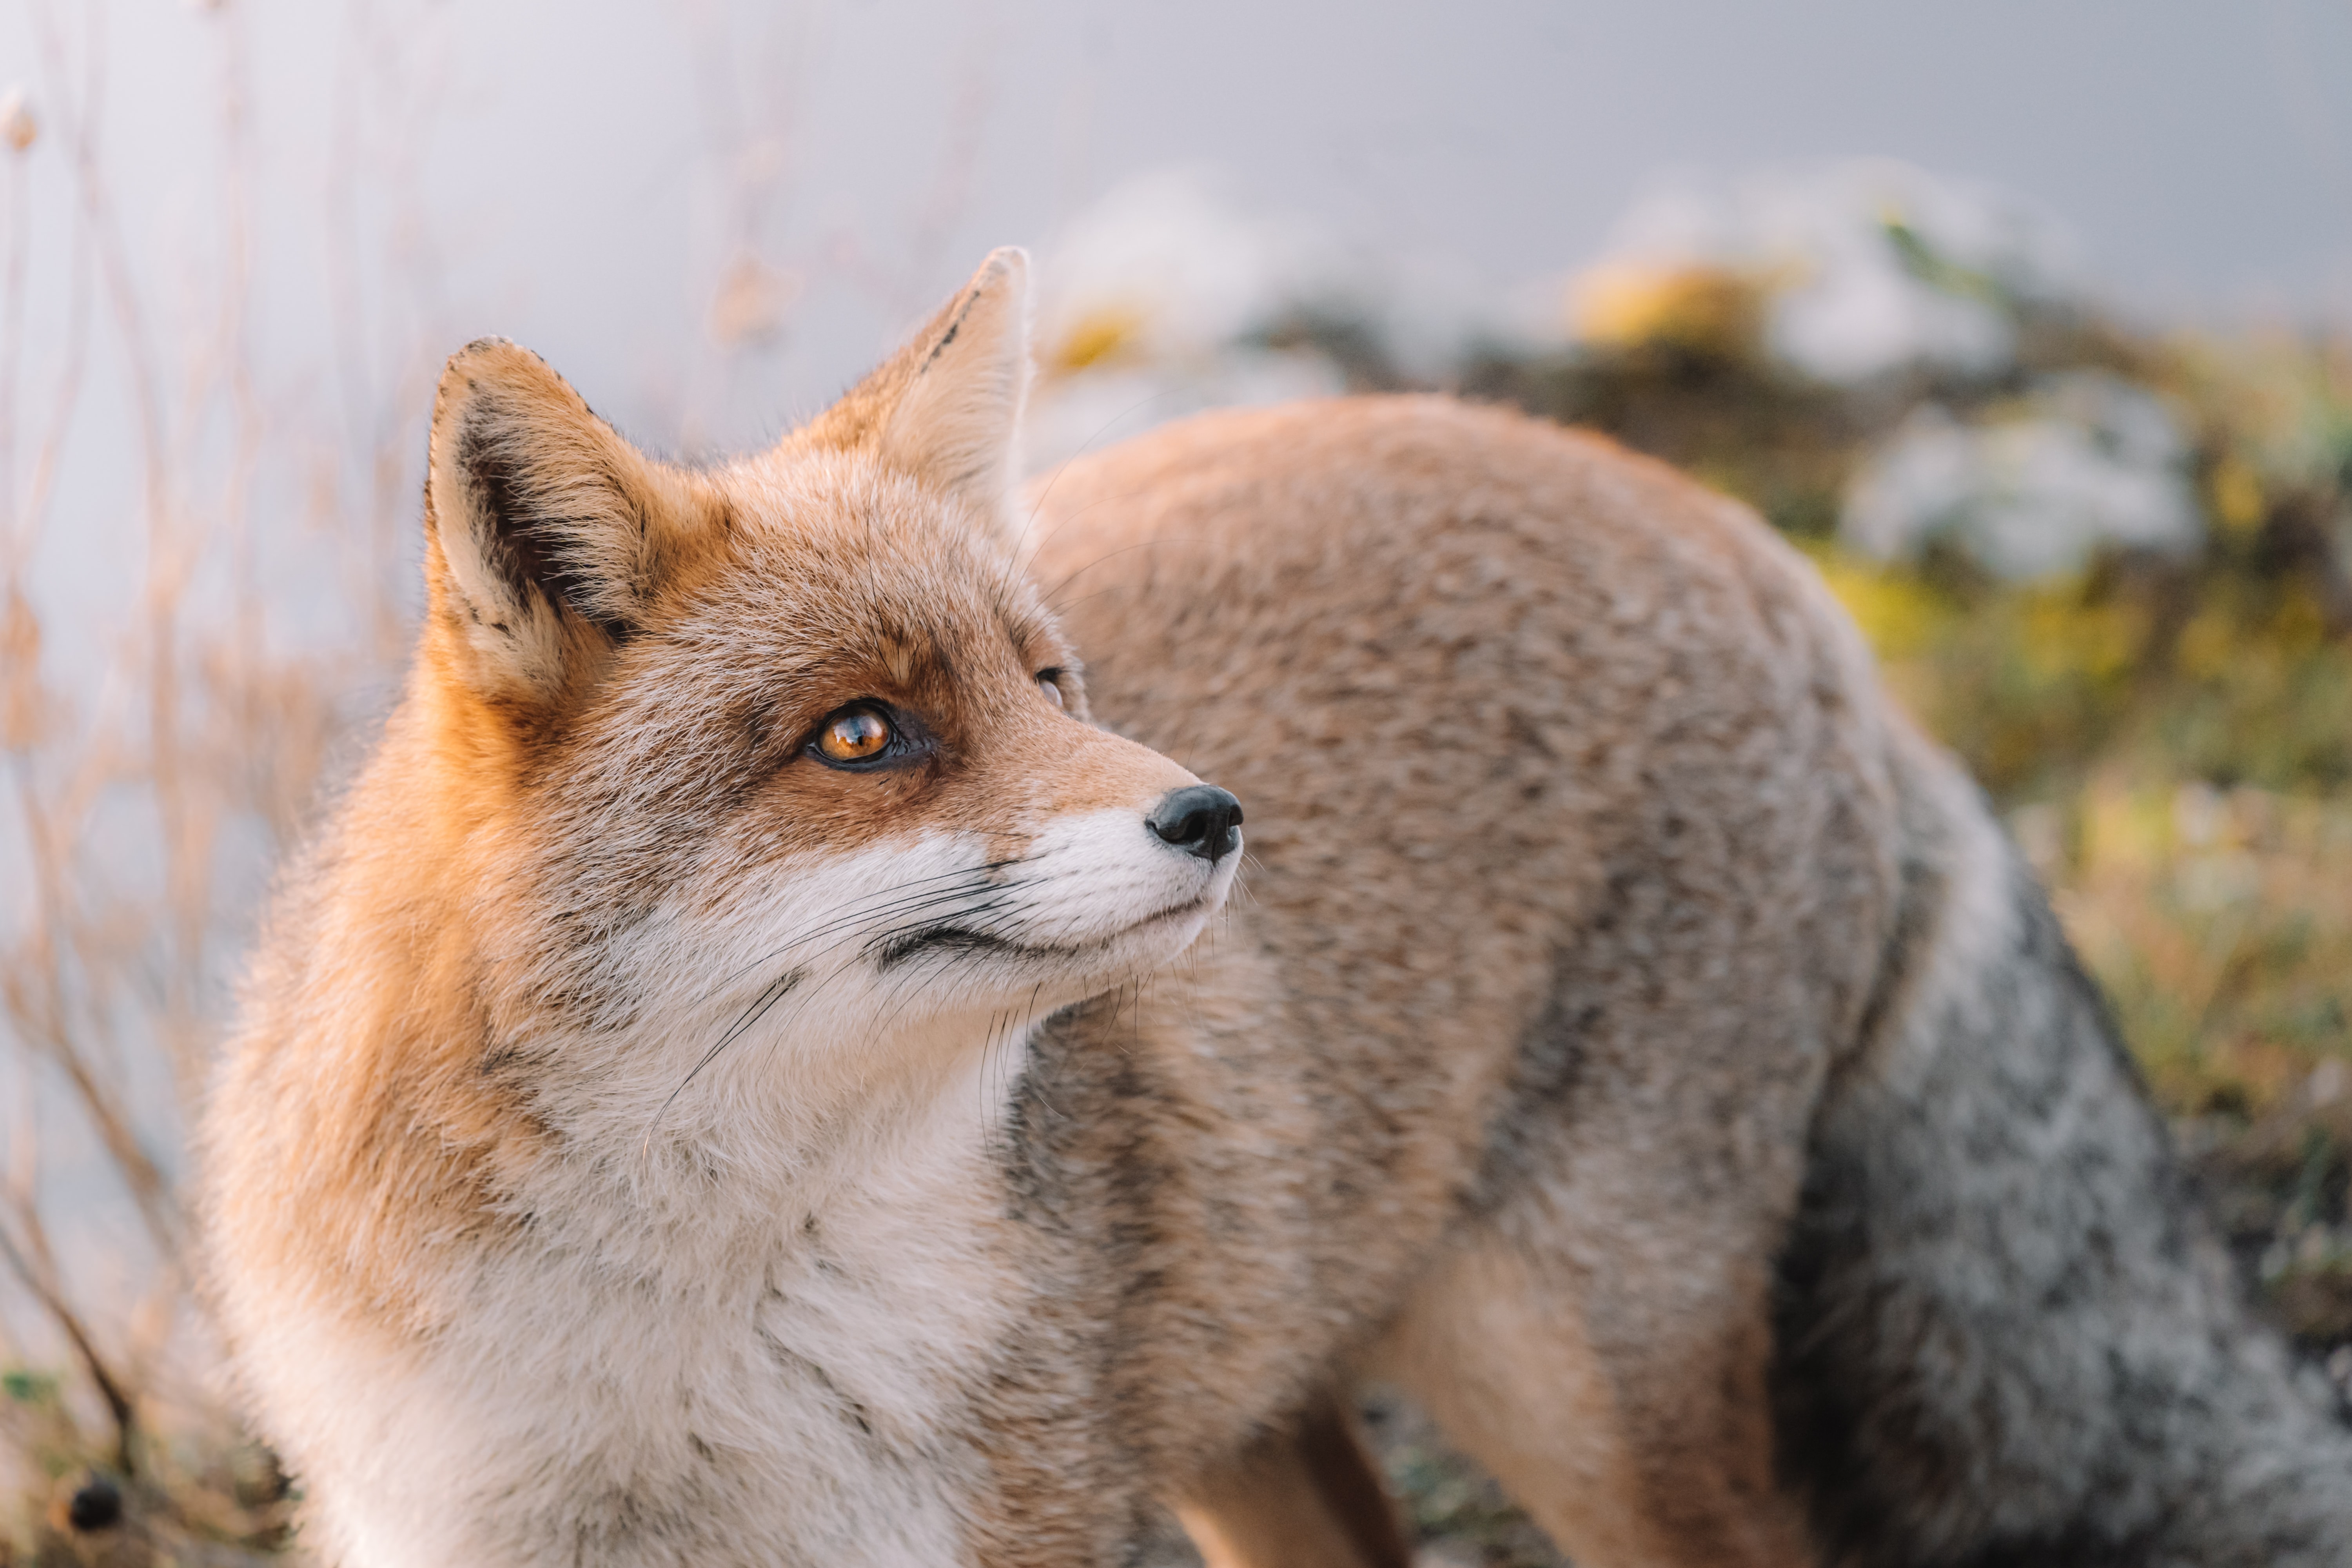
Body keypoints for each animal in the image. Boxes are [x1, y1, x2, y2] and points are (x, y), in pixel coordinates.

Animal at [198, 246, 2352, 1568]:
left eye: (1047, 681)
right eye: (866, 734)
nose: (1216, 813)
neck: (664, 1349)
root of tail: (1754, 542)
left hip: (1567, 1380)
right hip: (1262, 1410)